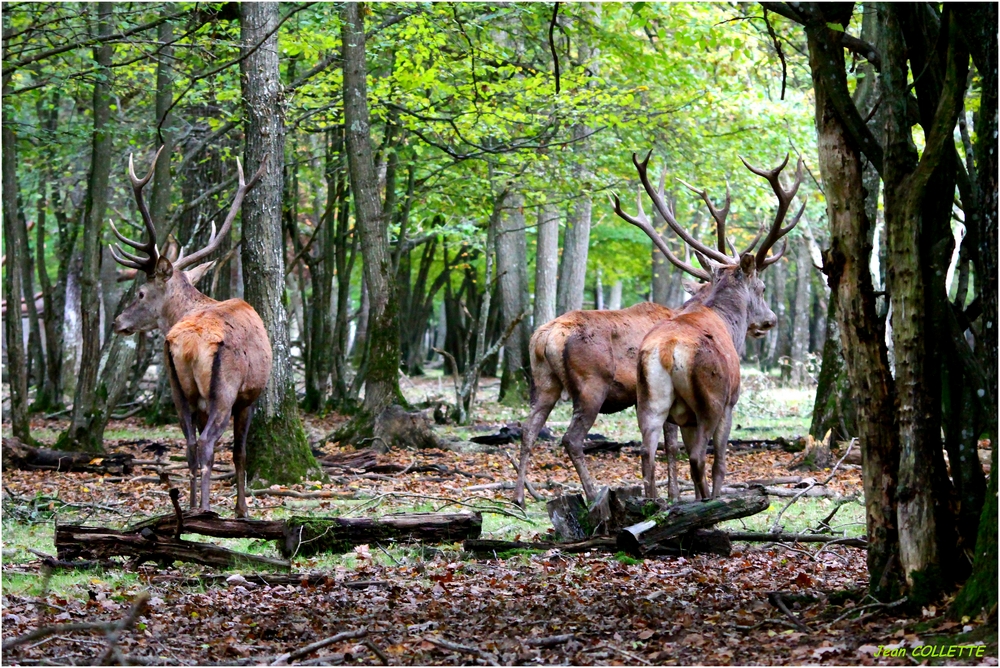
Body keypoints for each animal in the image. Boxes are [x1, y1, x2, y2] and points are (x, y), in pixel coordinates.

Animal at [111, 149, 270, 520]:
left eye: (140, 293)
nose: (117, 321)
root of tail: (187, 344)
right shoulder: (249, 396)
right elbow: (240, 453)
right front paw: (242, 509)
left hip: (177, 389)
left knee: (189, 443)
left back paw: (193, 508)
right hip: (223, 390)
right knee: (208, 442)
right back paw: (208, 510)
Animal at [608, 150, 804, 496]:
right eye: (761, 287)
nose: (770, 320)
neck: (727, 322)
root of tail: (667, 351)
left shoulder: (681, 417)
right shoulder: (730, 401)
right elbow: (720, 463)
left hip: (649, 400)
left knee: (648, 452)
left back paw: (655, 503)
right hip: (709, 400)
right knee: (699, 458)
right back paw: (707, 503)